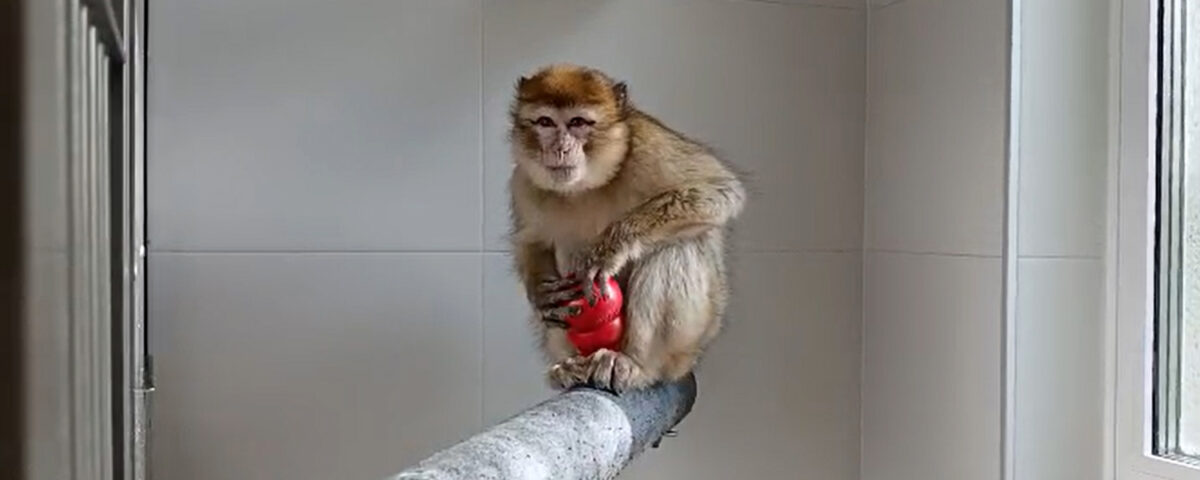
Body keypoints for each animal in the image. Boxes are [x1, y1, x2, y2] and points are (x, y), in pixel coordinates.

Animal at [506, 64, 746, 393]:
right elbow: (532, 240)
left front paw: (612, 248)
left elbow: (721, 192)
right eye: (545, 122)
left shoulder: (649, 146)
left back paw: (636, 364)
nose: (560, 148)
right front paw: (541, 292)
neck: (588, 185)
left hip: (693, 338)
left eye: (578, 122)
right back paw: (571, 365)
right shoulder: (524, 183)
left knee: (677, 247)